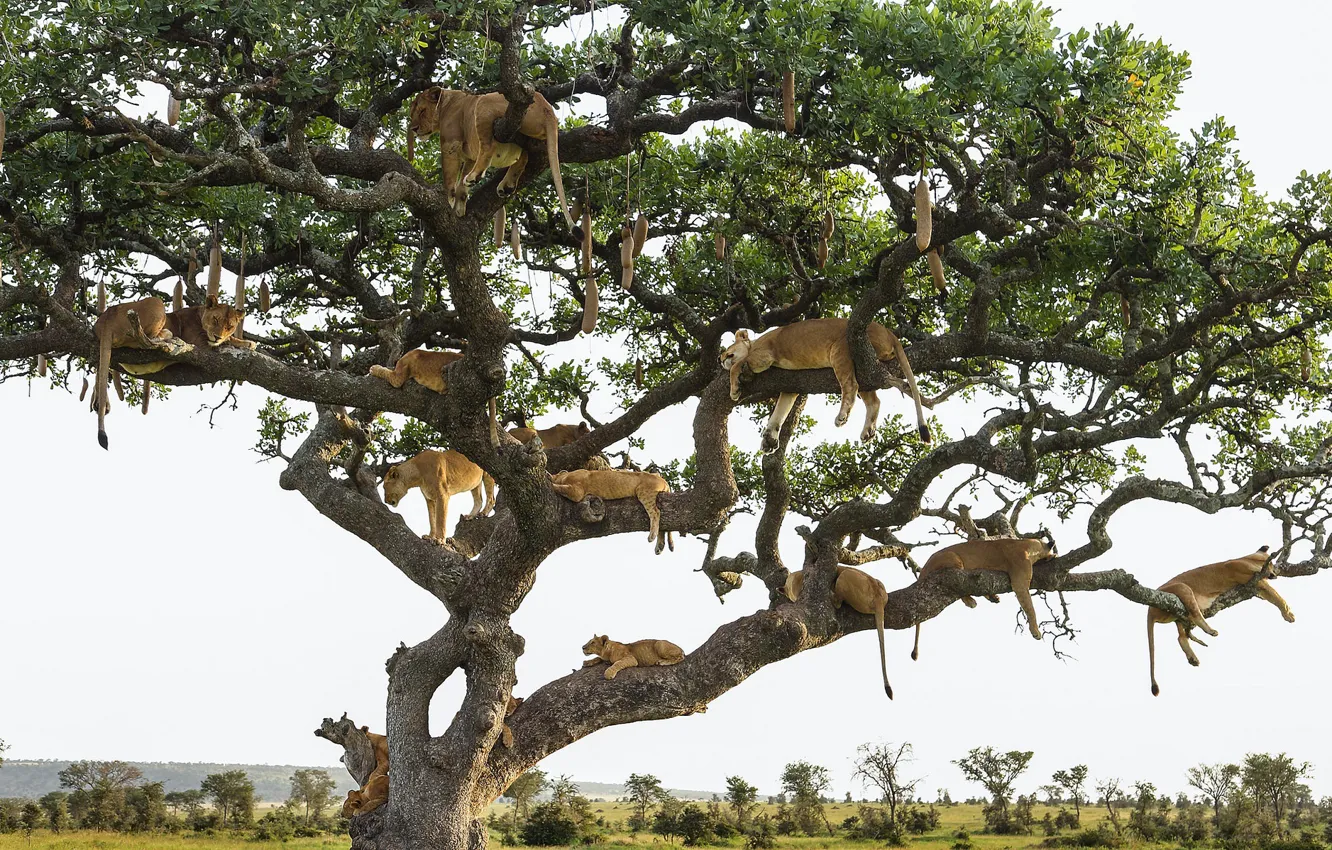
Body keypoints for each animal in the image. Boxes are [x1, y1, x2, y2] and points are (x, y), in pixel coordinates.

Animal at [405, 87, 574, 227]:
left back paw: (474, 176)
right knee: (523, 157)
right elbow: (461, 186)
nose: (414, 128)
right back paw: (506, 186)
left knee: (488, 147)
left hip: (484, 103)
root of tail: (547, 108)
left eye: (422, 111)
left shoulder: (450, 145)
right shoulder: (470, 158)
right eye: (412, 114)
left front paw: (449, 201)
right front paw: (460, 207)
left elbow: (449, 178)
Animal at [720, 317, 929, 454]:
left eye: (727, 352)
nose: (719, 359)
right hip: (865, 369)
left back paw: (842, 417)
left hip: (840, 350)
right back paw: (867, 432)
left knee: (850, 386)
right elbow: (779, 412)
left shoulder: (763, 356)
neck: (754, 343)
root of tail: (891, 333)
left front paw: (734, 389)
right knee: (874, 400)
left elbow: (737, 365)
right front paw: (769, 441)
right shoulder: (790, 388)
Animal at [912, 537, 1056, 659]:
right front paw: (1035, 631)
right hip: (953, 560)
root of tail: (924, 567)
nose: (1052, 551)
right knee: (958, 584)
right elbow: (1030, 608)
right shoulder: (1019, 581)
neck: (1027, 545)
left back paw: (992, 597)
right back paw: (971, 601)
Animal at [1147, 545, 1294, 696]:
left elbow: (1273, 597)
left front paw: (1287, 613)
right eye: (1269, 564)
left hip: (1177, 613)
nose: (1274, 575)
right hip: (1183, 588)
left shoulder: (1255, 585)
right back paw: (1210, 631)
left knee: (1181, 636)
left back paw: (1193, 658)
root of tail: (1150, 609)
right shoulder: (1248, 575)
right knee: (1195, 615)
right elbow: (1276, 595)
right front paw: (1288, 613)